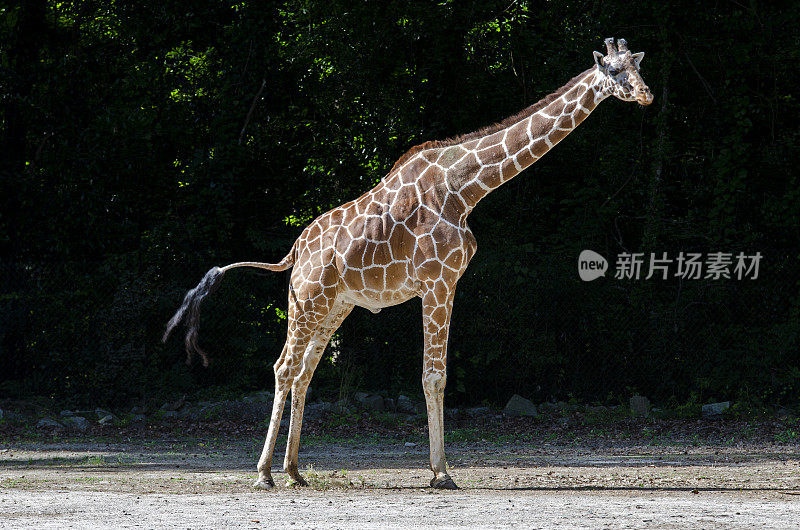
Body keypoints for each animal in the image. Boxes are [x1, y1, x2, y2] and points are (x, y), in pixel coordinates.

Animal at [162, 38, 648, 486]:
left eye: (637, 66)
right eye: (614, 71)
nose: (646, 94)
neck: (466, 189)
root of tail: (295, 252)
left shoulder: (449, 285)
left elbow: (438, 375)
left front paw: (439, 469)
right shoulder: (437, 283)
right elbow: (434, 376)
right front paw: (441, 472)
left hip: (334, 306)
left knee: (303, 373)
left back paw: (295, 472)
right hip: (307, 301)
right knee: (284, 368)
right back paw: (264, 474)